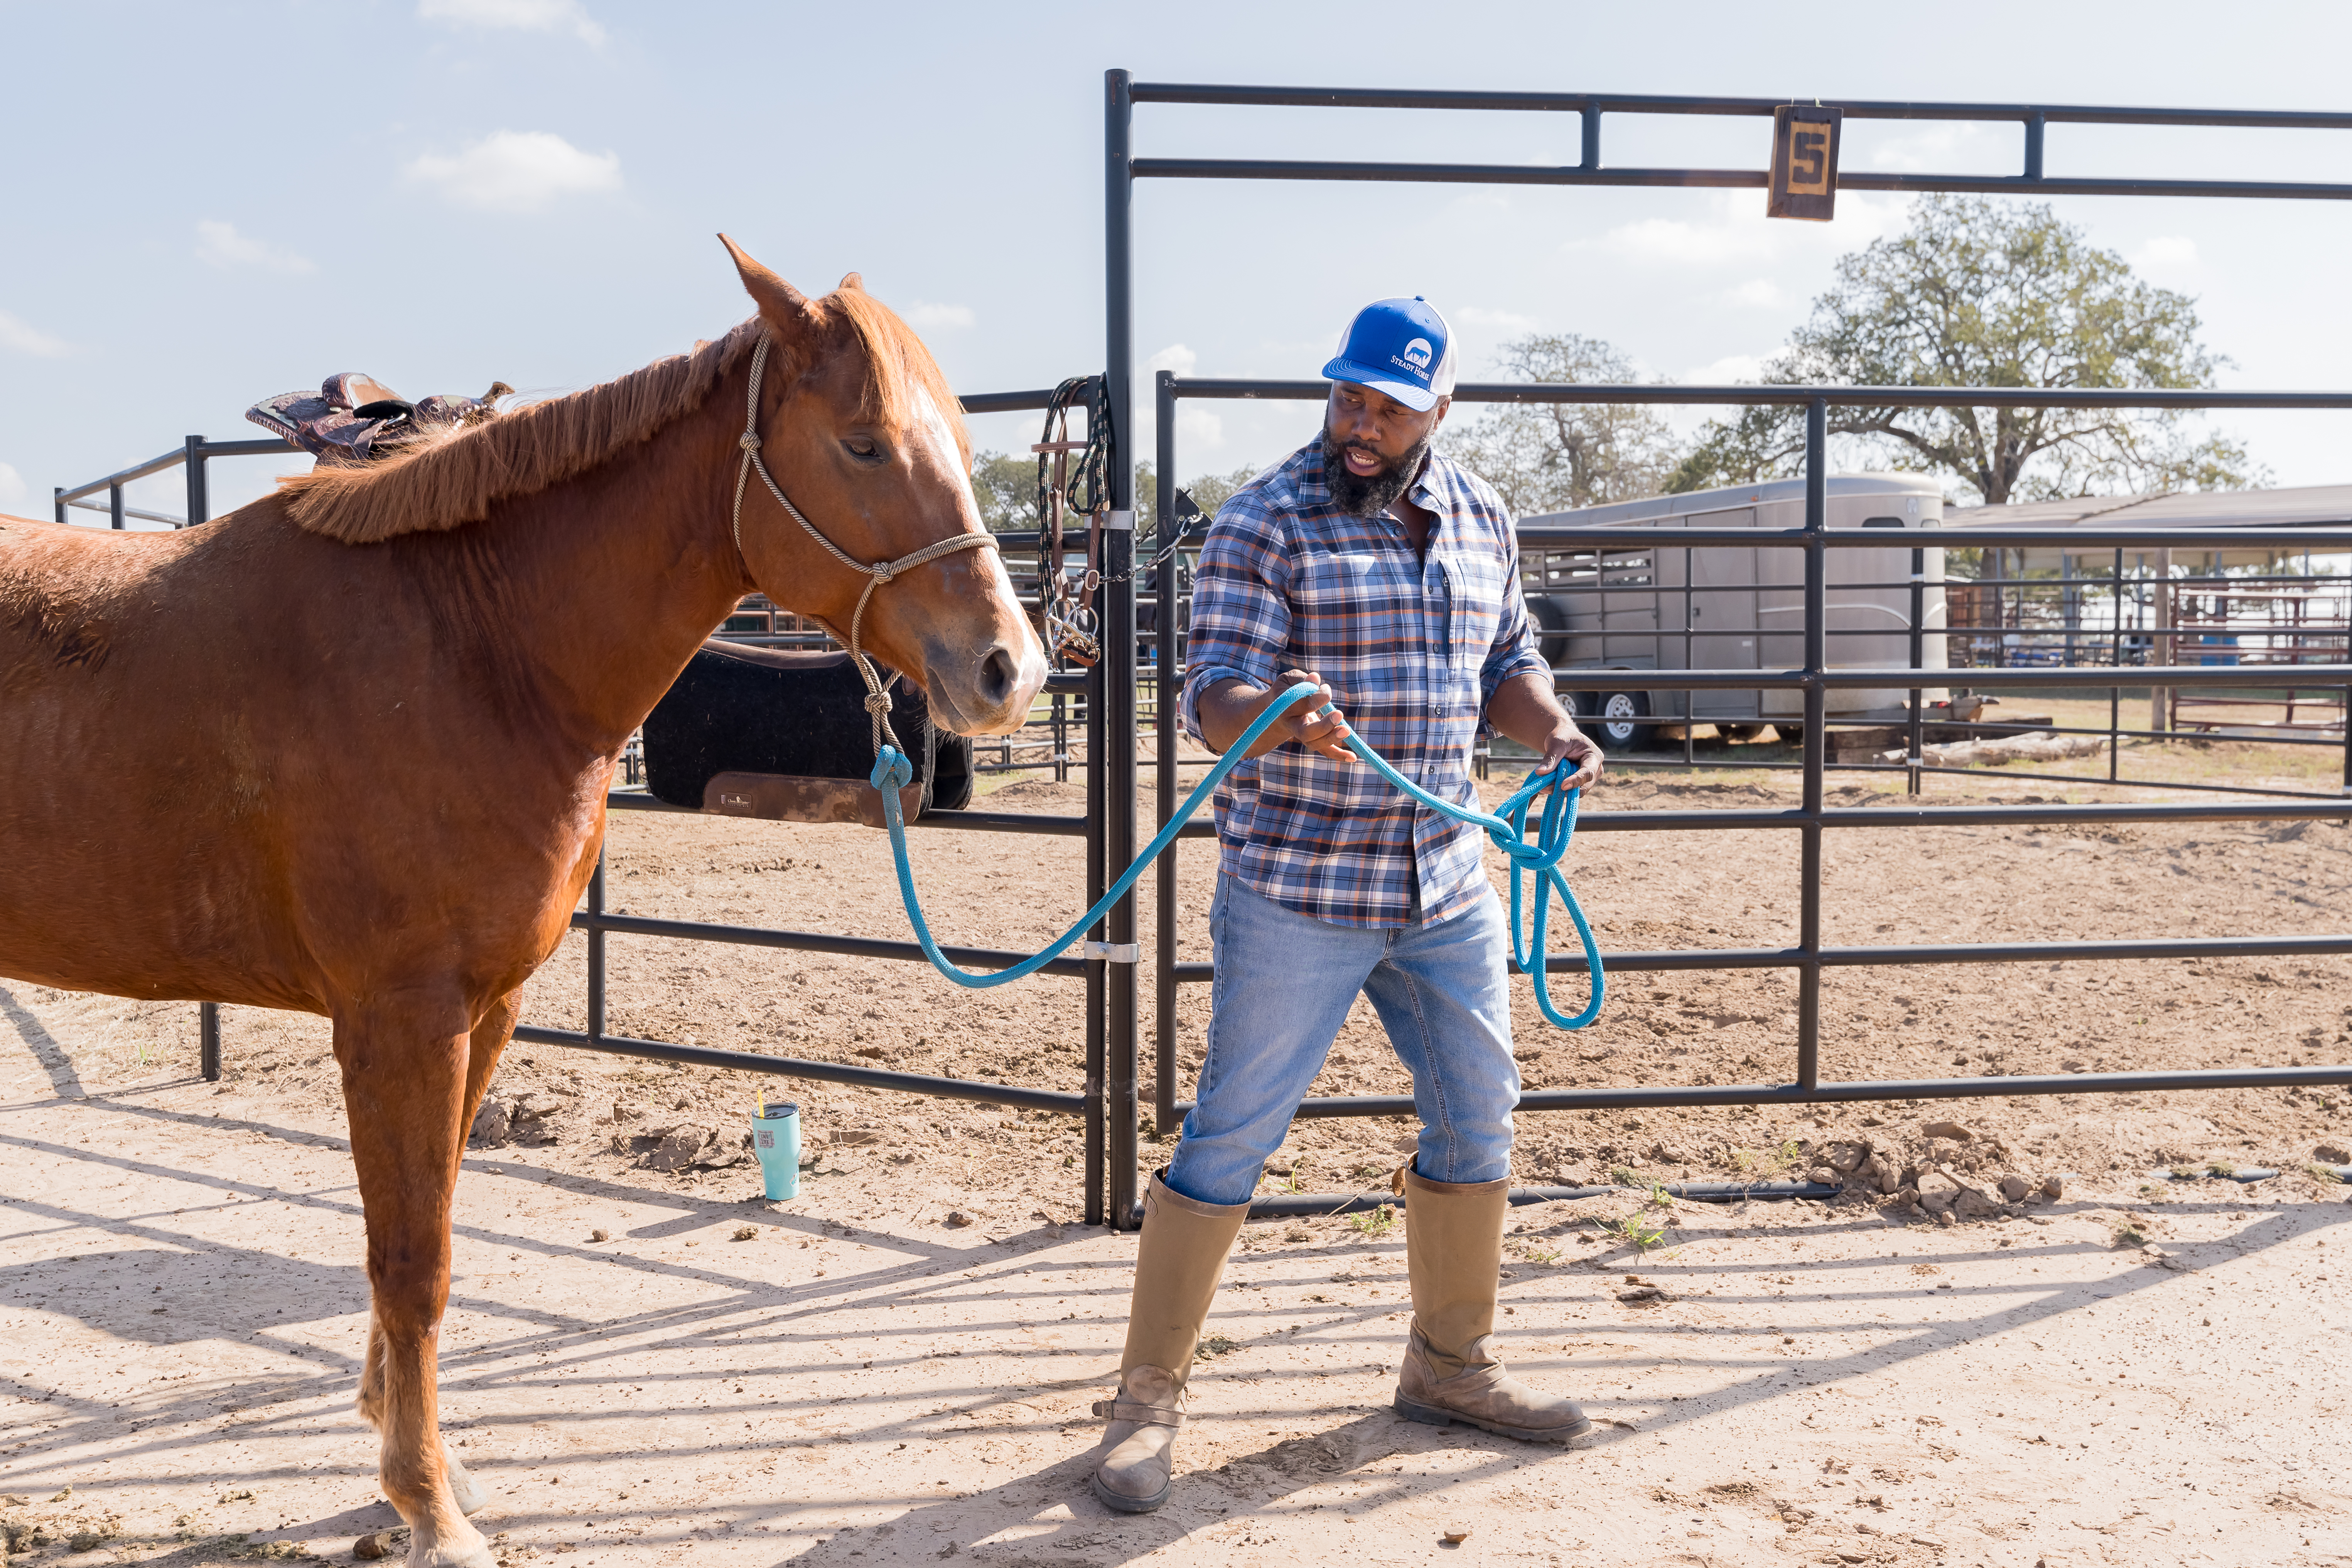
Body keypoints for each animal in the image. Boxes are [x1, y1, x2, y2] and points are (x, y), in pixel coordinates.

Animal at [0, 237, 1047, 1568]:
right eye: (863, 444)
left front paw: (405, 1462)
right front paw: (430, 1505)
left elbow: (424, 1235)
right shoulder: (402, 1020)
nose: (1011, 667)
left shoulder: (481, 1011)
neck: (475, 646)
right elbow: (415, 1258)